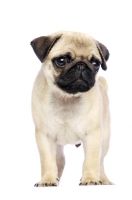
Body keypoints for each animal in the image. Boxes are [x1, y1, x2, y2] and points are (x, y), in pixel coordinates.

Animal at [30, 30, 112, 186]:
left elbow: (91, 161)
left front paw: (90, 179)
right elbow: (48, 161)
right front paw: (47, 180)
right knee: (60, 161)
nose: (81, 66)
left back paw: (104, 179)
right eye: (61, 61)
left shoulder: (93, 135)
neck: (66, 98)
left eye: (95, 63)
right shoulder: (44, 136)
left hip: (104, 139)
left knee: (101, 162)